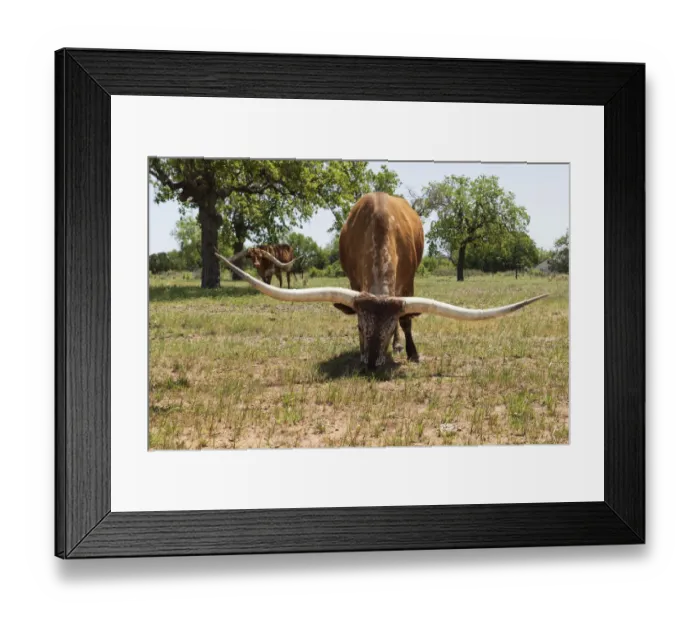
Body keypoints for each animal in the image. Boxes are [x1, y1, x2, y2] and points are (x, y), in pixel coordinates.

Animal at [217, 193, 548, 369]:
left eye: (387, 331)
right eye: (361, 327)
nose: (371, 364)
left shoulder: (408, 284)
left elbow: (407, 320)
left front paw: (411, 352)